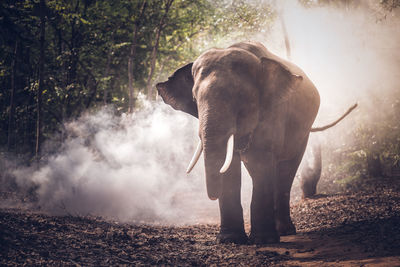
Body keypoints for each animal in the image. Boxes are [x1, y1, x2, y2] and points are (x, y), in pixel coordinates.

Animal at [155, 41, 356, 245]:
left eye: (239, 97)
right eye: (195, 99)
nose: (212, 196)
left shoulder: (273, 111)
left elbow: (260, 161)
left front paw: (263, 240)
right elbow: (230, 167)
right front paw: (230, 240)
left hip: (303, 131)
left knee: (285, 170)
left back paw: (284, 231)